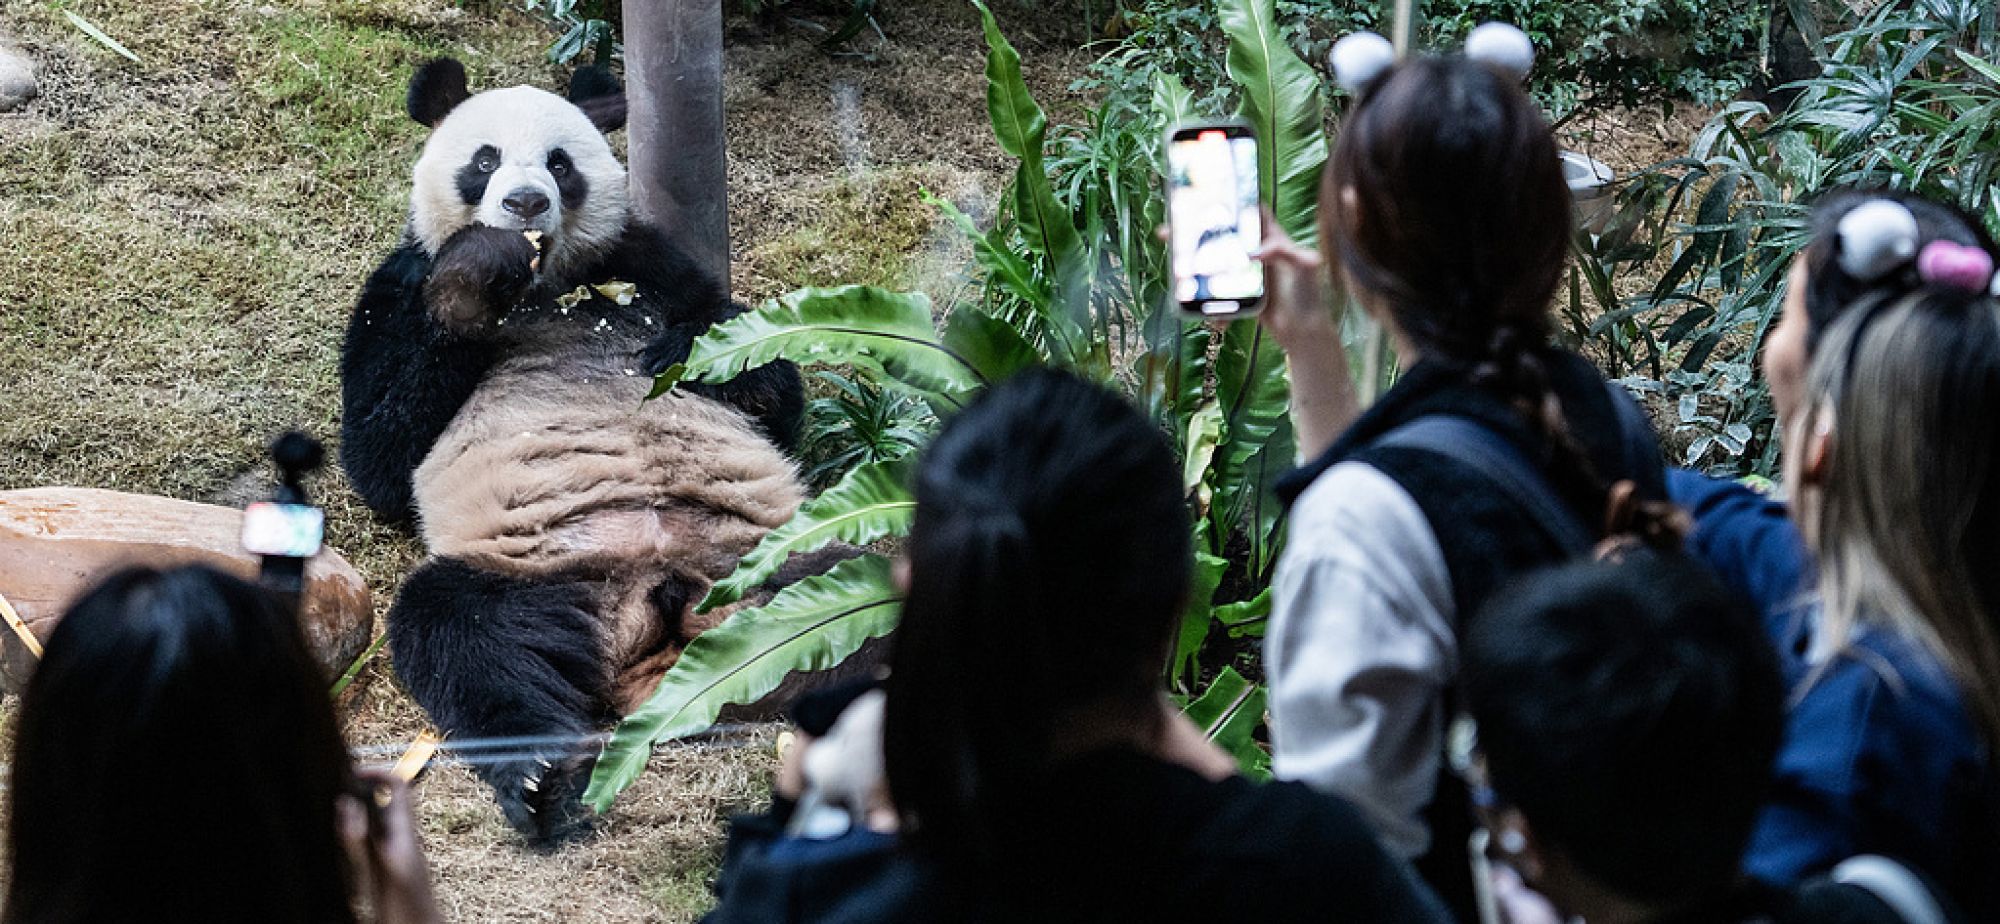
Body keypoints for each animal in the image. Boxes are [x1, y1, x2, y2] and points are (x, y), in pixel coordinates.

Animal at [340, 59, 808, 844]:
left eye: (560, 162)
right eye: (485, 160)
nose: (526, 201)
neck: (548, 286)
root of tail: (658, 609)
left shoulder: (649, 263)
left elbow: (767, 381)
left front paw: (686, 352)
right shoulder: (399, 285)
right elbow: (380, 457)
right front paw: (475, 276)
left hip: (769, 554)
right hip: (538, 576)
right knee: (466, 640)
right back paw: (540, 779)